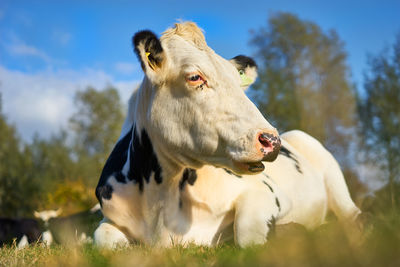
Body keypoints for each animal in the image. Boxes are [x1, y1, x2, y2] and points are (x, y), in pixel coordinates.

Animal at [93, 21, 360, 249]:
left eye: (237, 81)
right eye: (194, 77)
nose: (271, 141)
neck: (160, 204)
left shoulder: (268, 192)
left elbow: (247, 234)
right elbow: (102, 238)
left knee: (350, 213)